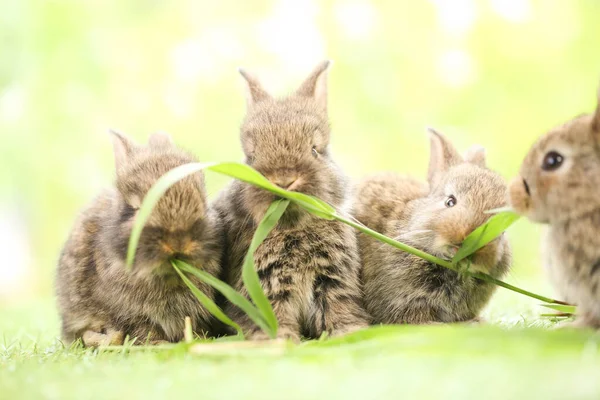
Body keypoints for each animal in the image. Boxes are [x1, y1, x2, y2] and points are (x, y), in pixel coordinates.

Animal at [56, 131, 223, 346]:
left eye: (203, 201)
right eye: (136, 208)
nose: (178, 242)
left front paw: (199, 340)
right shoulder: (129, 314)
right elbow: (144, 329)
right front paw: (157, 344)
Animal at [213, 61, 368, 342]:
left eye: (315, 150)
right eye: (251, 157)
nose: (284, 180)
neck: (292, 228)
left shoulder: (332, 279)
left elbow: (337, 306)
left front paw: (349, 332)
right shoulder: (267, 285)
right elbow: (275, 314)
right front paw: (278, 340)